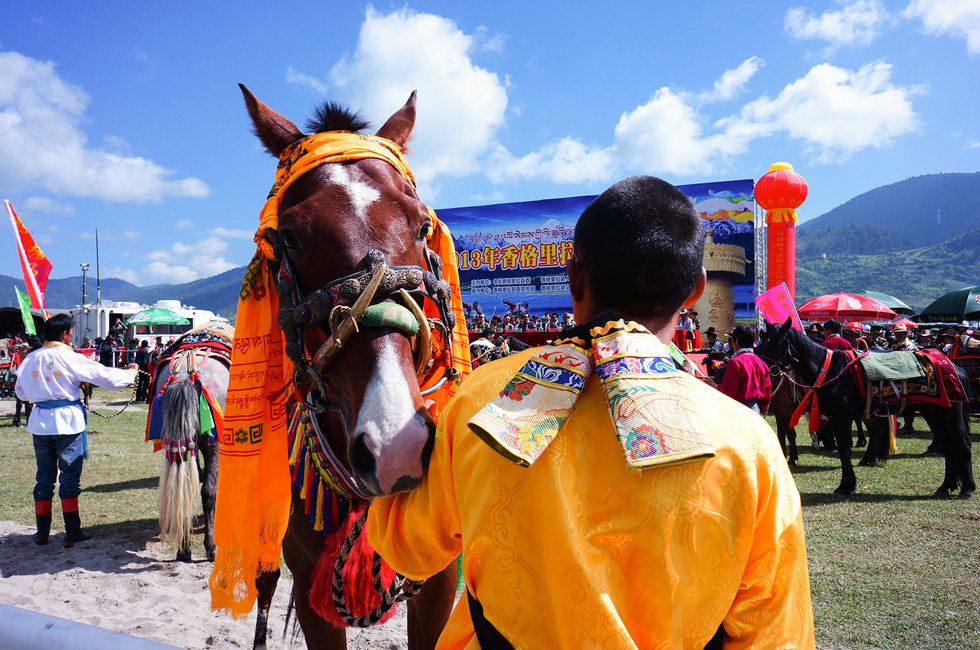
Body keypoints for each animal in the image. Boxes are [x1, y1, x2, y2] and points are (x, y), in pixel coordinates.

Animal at [756, 322, 972, 498]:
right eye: (761, 341)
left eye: (776, 343)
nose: (760, 365)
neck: (829, 370)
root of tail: (956, 369)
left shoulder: (839, 417)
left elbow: (843, 448)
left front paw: (845, 486)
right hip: (932, 413)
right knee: (947, 445)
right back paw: (945, 486)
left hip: (951, 415)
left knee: (962, 444)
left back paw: (967, 489)